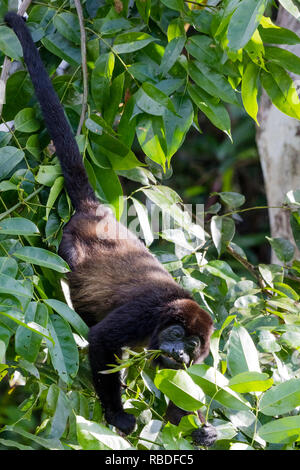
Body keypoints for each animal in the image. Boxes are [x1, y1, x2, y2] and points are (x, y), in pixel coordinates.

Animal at [5, 10, 217, 444]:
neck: (166, 316)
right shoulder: (144, 314)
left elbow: (179, 386)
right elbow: (102, 341)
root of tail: (97, 212)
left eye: (192, 345)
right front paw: (119, 416)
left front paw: (202, 429)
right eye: (176, 335)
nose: (179, 352)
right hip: (69, 245)